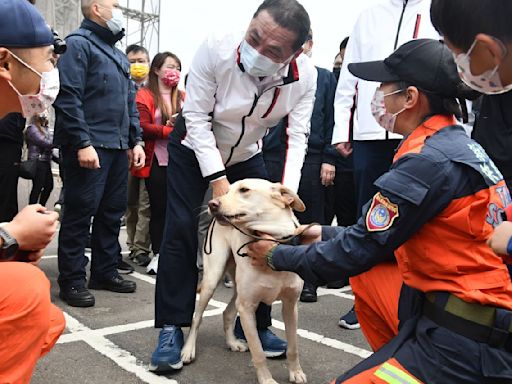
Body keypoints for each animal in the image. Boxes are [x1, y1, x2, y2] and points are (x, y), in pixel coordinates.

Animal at [181, 179, 308, 384]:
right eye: (227, 191)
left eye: (244, 190)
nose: (212, 204)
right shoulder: (247, 307)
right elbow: (258, 352)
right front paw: (267, 380)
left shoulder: (290, 305)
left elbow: (293, 346)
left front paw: (296, 372)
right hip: (212, 279)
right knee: (196, 318)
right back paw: (187, 350)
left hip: (239, 291)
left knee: (227, 312)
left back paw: (232, 342)